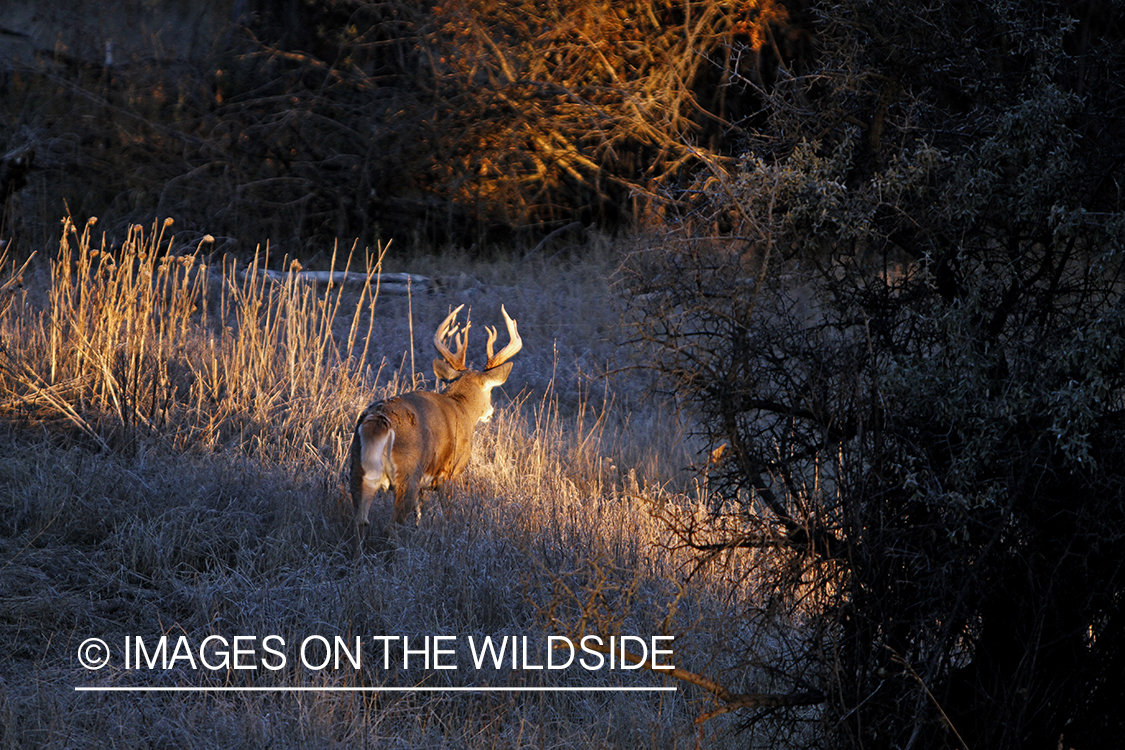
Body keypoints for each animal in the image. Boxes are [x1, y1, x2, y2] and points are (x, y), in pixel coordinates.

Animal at [348, 301, 519, 548]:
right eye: (490, 390)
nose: (490, 413)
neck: (461, 406)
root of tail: (378, 420)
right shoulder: (451, 471)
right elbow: (447, 512)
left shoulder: (424, 483)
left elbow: (420, 515)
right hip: (407, 472)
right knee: (391, 526)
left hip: (357, 468)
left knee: (360, 523)